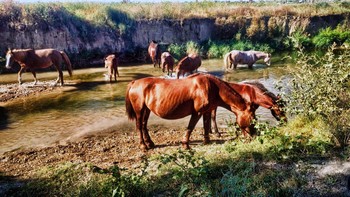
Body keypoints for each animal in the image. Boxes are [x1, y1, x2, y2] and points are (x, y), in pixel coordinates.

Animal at [125, 72, 254, 151]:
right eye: (251, 119)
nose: (252, 137)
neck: (211, 86)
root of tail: (134, 82)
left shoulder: (206, 111)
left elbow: (206, 126)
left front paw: (207, 141)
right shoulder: (197, 112)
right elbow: (190, 127)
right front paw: (185, 144)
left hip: (147, 110)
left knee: (143, 125)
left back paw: (150, 143)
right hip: (139, 110)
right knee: (139, 126)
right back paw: (143, 145)